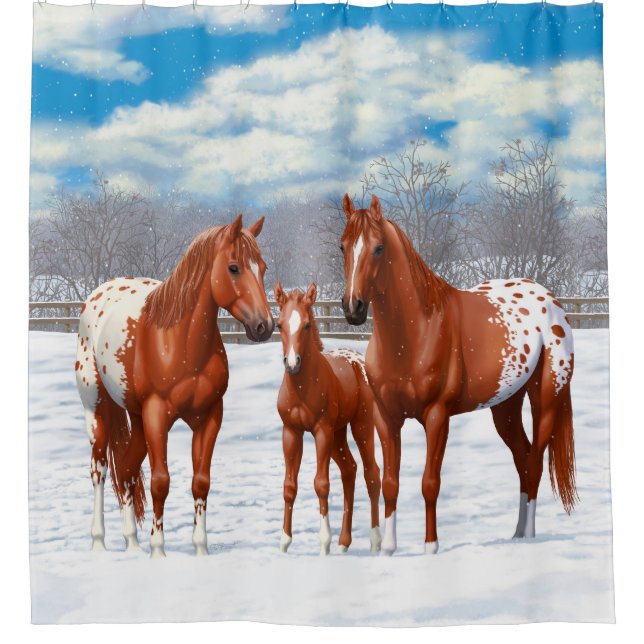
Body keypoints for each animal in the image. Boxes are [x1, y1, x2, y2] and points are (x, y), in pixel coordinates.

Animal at [76, 215, 274, 557]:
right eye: (234, 267)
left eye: (261, 267)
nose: (265, 326)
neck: (180, 343)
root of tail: (98, 294)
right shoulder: (157, 415)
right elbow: (160, 481)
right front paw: (158, 550)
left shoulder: (209, 416)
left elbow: (200, 482)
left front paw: (200, 549)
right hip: (97, 409)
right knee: (99, 470)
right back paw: (99, 542)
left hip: (137, 419)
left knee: (126, 470)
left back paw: (131, 543)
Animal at [274, 282, 382, 555]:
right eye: (279, 324)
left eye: (306, 325)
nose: (292, 363)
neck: (302, 388)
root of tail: (358, 360)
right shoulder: (291, 431)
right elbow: (289, 486)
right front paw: (284, 543)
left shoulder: (321, 430)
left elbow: (321, 483)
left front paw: (324, 544)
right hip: (338, 434)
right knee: (349, 470)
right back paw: (344, 543)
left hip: (360, 426)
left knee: (371, 474)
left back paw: (375, 541)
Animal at [338, 193, 577, 556]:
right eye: (342, 246)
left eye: (378, 248)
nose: (353, 308)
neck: (414, 333)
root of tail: (551, 301)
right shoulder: (386, 417)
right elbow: (390, 482)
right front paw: (389, 549)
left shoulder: (437, 416)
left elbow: (430, 482)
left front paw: (430, 547)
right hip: (506, 407)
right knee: (523, 460)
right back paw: (517, 534)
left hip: (546, 401)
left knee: (535, 462)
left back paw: (529, 536)